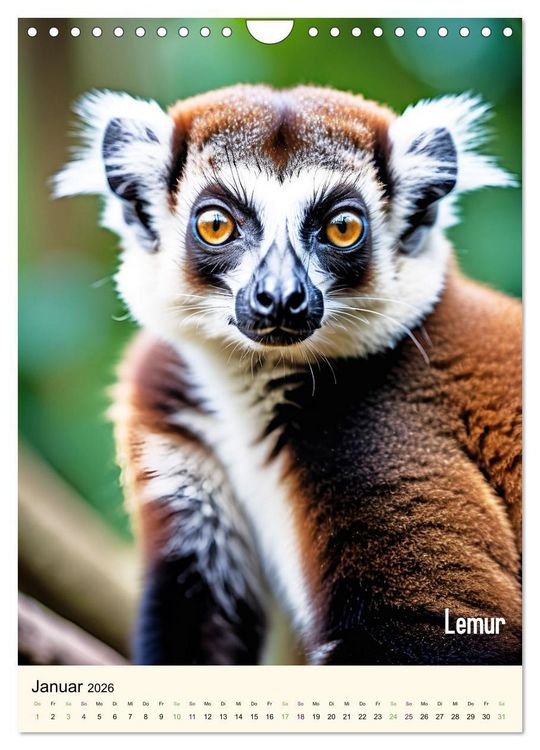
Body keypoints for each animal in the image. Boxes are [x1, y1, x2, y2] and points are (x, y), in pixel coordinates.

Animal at [54, 84, 521, 666]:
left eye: (342, 228)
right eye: (216, 225)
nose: (280, 296)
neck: (254, 389)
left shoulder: (378, 434)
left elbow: (449, 634)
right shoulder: (167, 400)